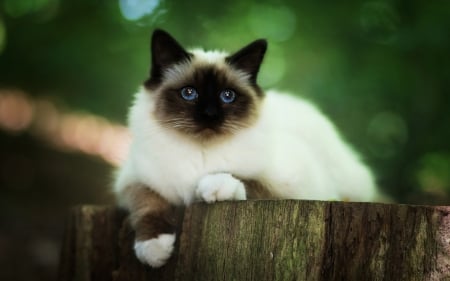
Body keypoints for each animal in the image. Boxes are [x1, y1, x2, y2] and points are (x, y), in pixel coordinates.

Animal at [112, 28, 376, 266]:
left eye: (227, 96)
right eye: (189, 93)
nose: (210, 115)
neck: (201, 151)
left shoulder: (296, 188)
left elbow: (247, 182)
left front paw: (213, 187)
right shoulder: (133, 181)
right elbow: (148, 204)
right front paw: (154, 249)